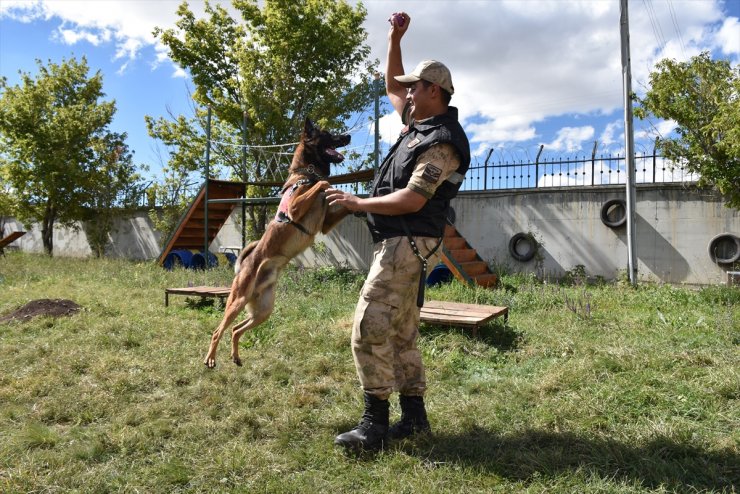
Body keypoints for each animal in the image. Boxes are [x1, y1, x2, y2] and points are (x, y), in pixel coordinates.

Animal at [204, 118, 352, 366]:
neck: (305, 173)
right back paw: (211, 359)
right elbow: (320, 185)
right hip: (237, 301)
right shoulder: (295, 208)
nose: (349, 136)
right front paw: (326, 184)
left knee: (235, 329)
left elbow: (343, 204)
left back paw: (236, 356)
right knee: (218, 330)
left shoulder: (326, 224)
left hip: (263, 311)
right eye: (327, 133)